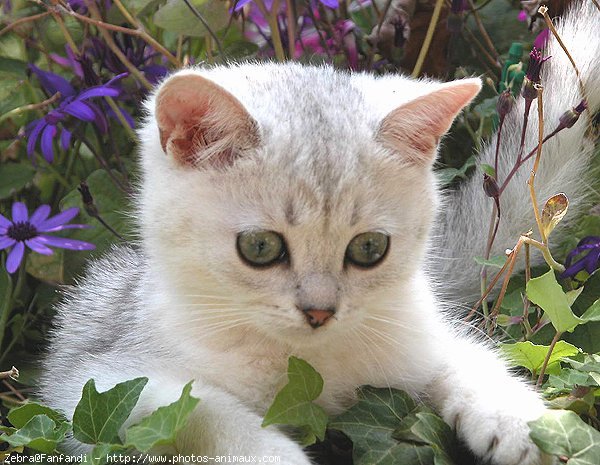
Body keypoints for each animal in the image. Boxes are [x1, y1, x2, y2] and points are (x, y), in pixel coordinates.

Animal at [39, 1, 596, 462]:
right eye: (259, 247)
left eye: (369, 248)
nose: (319, 312)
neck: (307, 367)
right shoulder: (103, 377)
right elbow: (200, 411)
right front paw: (273, 454)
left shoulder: (413, 333)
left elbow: (464, 357)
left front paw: (522, 421)